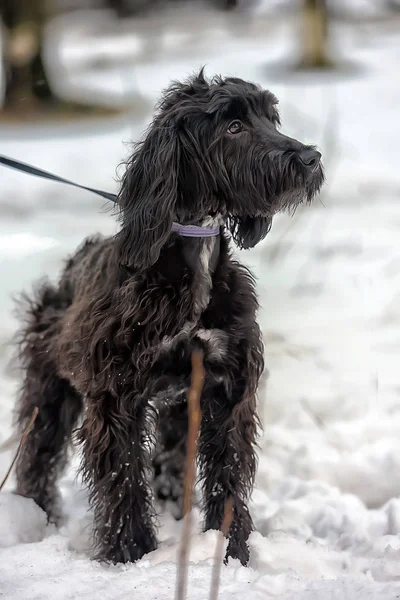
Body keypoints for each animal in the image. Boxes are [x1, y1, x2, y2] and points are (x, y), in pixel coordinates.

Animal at [13, 70, 324, 568]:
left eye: (270, 117)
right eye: (233, 127)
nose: (311, 159)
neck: (195, 256)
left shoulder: (226, 387)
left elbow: (228, 474)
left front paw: (229, 552)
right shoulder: (117, 396)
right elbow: (122, 479)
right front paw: (130, 553)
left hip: (178, 404)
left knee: (169, 465)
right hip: (51, 388)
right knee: (38, 454)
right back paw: (36, 517)